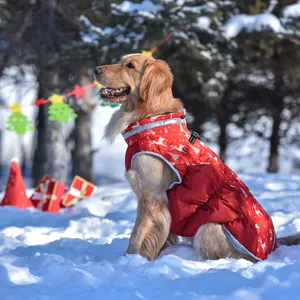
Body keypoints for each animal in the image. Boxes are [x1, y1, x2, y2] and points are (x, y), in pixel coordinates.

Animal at [95, 54, 300, 262]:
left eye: (130, 65)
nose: (96, 70)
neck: (152, 119)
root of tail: (273, 246)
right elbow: (162, 236)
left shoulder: (151, 198)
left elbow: (137, 237)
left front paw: (130, 259)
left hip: (208, 227)